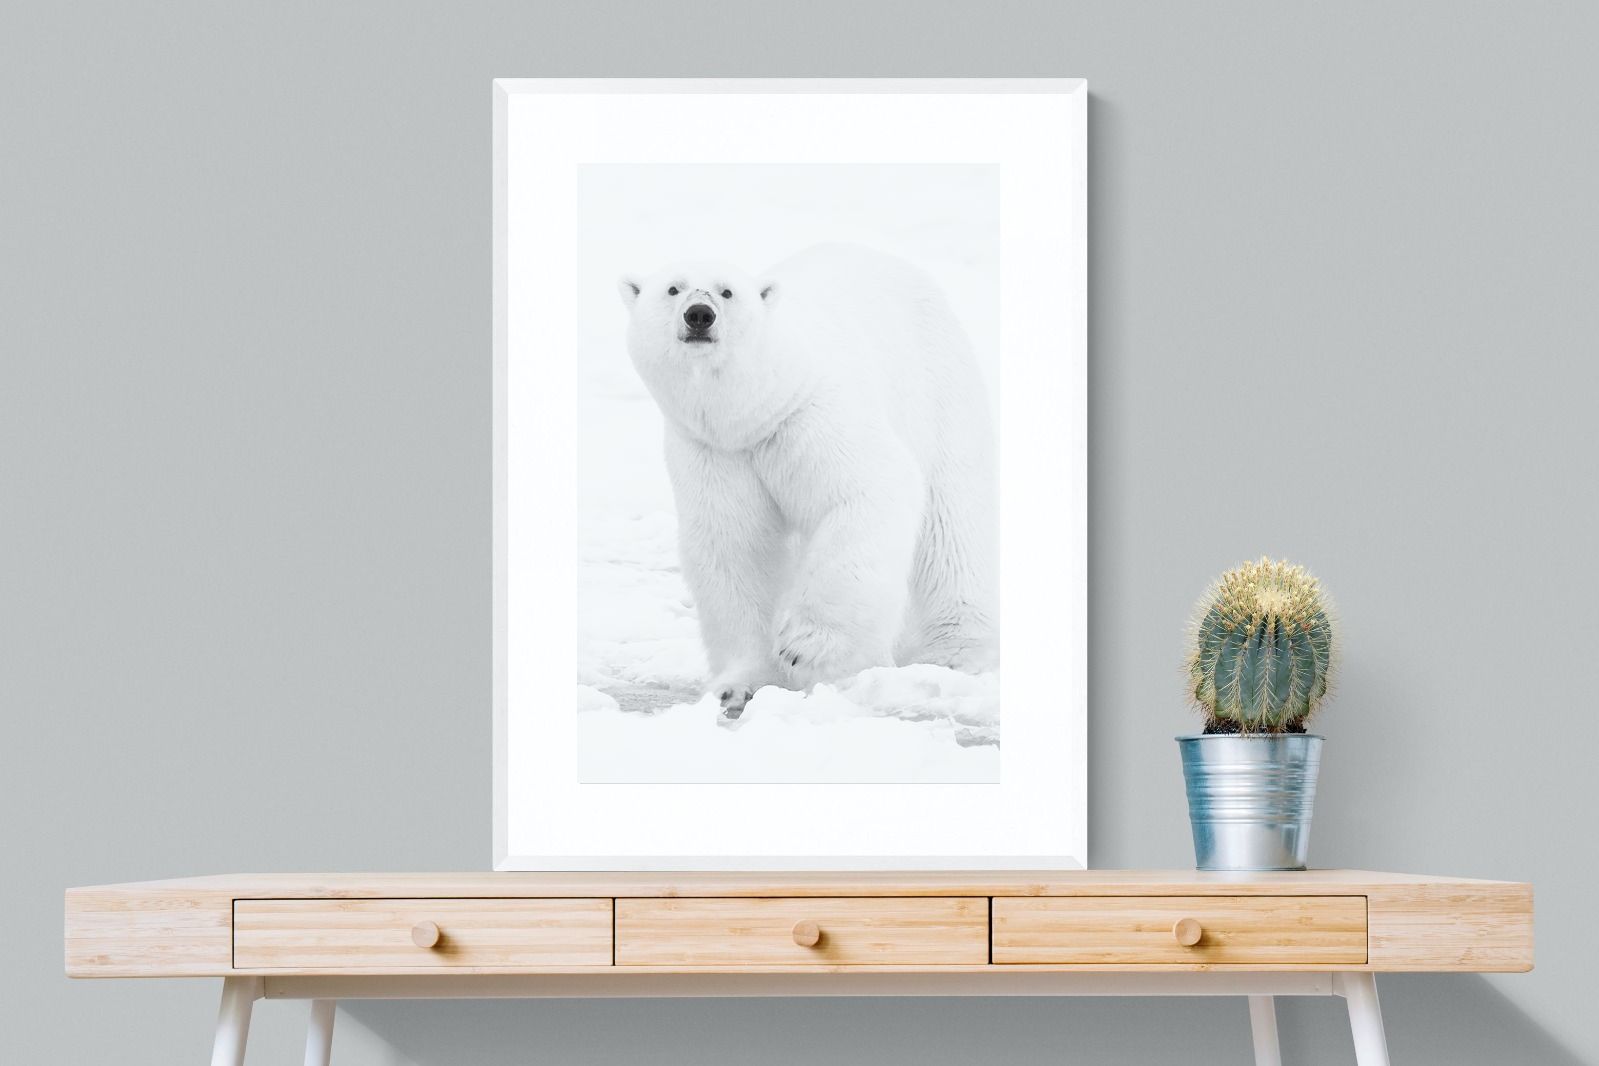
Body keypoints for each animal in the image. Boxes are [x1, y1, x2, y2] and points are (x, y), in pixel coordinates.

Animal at [616, 243, 997, 719]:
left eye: (727, 291)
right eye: (673, 288)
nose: (699, 315)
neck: (755, 413)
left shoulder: (811, 415)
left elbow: (867, 490)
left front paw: (807, 647)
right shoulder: (714, 451)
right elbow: (735, 546)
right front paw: (739, 685)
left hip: (938, 389)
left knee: (952, 523)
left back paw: (952, 653)